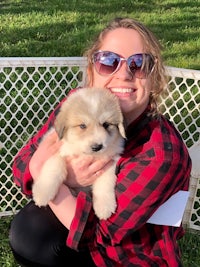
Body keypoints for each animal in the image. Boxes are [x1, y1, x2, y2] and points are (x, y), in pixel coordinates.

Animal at [32, 88, 125, 220]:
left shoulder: (109, 162)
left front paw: (104, 207)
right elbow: (55, 166)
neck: (86, 154)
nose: (97, 147)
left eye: (106, 124)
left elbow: (105, 183)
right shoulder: (58, 151)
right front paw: (43, 193)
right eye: (82, 126)